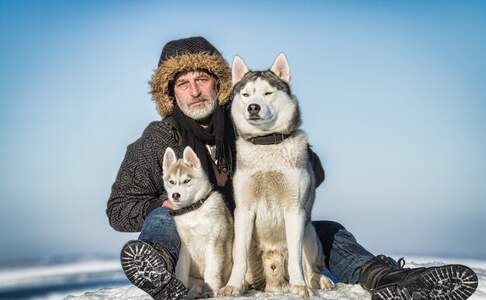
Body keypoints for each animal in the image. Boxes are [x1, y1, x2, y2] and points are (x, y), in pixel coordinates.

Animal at [161, 146, 234, 298]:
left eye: (186, 181)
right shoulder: (184, 246)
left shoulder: (214, 241)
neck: (193, 210)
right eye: (171, 182)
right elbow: (181, 271)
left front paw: (211, 291)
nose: (175, 195)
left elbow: (211, 271)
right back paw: (192, 292)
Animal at [219, 54, 334, 298]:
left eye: (268, 93)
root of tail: (273, 282)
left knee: (310, 267)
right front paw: (232, 286)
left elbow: (297, 259)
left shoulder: (294, 209)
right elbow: (239, 257)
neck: (266, 143)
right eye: (246, 94)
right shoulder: (244, 210)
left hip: (309, 232)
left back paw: (318, 281)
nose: (253, 107)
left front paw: (300, 286)